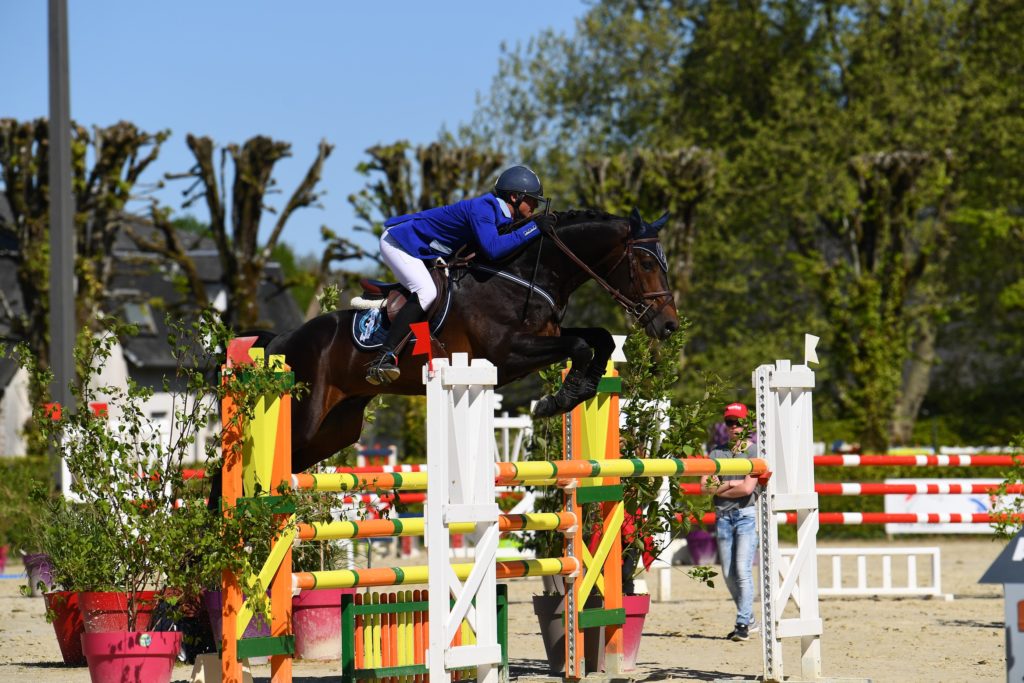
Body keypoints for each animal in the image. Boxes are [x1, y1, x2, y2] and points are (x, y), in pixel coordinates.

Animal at [249, 208, 679, 475]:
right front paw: (558, 400)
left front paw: (582, 388)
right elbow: (579, 347)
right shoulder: (509, 354)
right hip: (304, 418)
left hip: (335, 428)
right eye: (645, 263)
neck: (526, 274)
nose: (669, 325)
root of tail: (279, 341)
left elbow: (599, 339)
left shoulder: (544, 337)